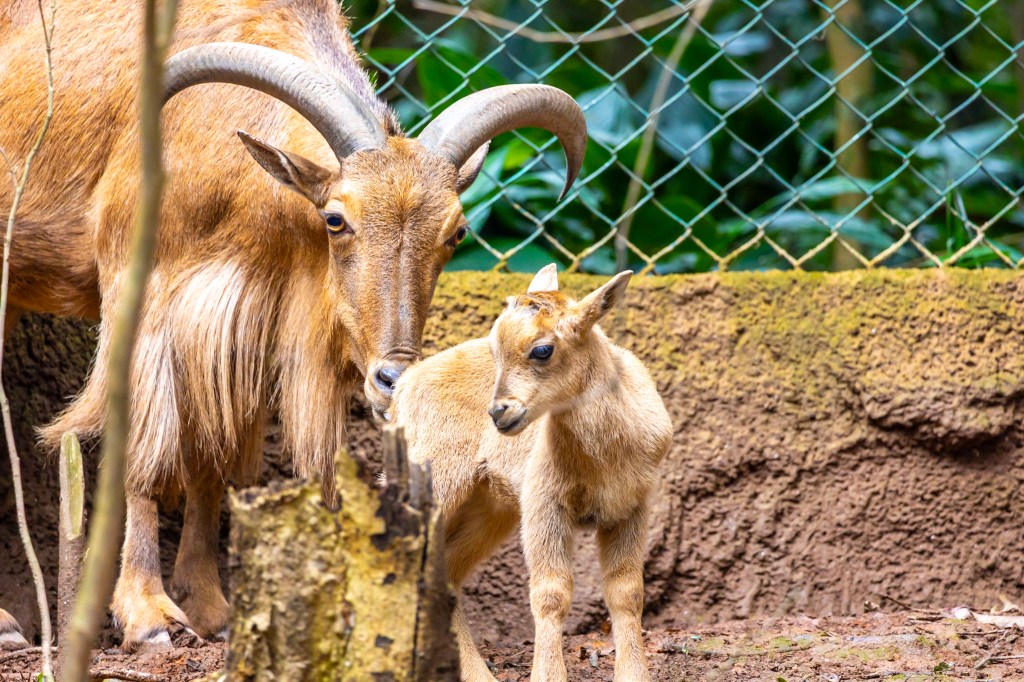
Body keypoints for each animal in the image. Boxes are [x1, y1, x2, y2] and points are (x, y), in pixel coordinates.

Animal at [0, 0, 585, 649]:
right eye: (334, 218)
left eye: (456, 233)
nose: (393, 380)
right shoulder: (147, 300)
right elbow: (147, 454)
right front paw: (149, 615)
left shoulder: (246, 330)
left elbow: (217, 464)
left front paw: (212, 609)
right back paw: (8, 624)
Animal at [392, 265, 673, 682]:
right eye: (495, 350)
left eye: (542, 349)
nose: (500, 412)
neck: (603, 458)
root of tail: (402, 389)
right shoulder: (544, 501)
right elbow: (550, 594)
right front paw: (548, 674)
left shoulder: (632, 505)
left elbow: (627, 592)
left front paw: (633, 675)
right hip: (433, 484)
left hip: (490, 507)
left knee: (443, 574)